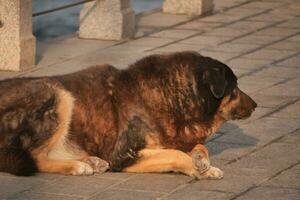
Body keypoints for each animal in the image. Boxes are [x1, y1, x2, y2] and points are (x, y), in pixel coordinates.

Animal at [0, 51, 255, 178]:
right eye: (234, 88)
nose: (255, 105)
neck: (171, 95)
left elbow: (194, 148)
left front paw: (203, 163)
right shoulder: (123, 156)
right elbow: (175, 154)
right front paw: (197, 166)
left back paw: (90, 160)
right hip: (57, 94)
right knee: (36, 157)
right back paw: (76, 166)